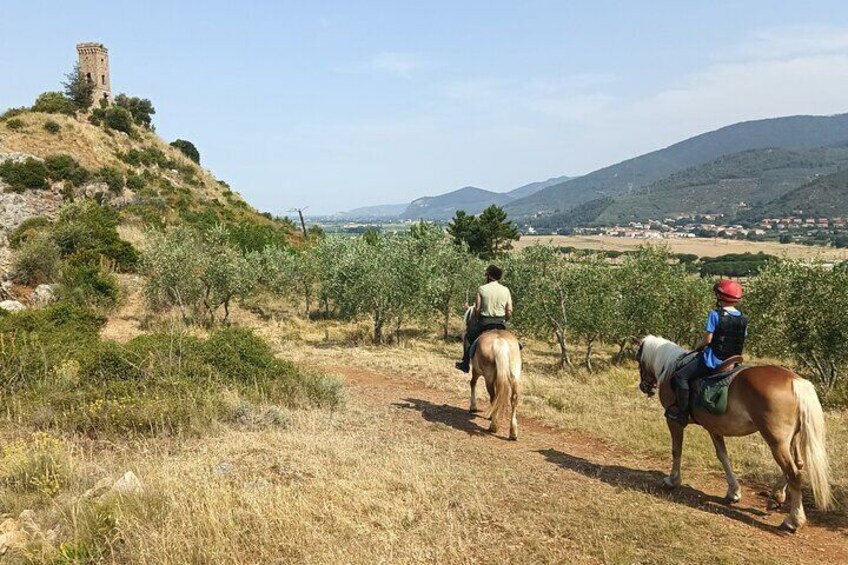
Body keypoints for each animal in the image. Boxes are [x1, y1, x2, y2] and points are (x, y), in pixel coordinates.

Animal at [640, 334, 832, 528]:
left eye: (639, 359)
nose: (645, 387)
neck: (672, 368)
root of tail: (795, 381)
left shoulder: (674, 421)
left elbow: (676, 450)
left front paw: (672, 480)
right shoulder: (713, 427)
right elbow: (723, 456)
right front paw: (733, 491)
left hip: (776, 442)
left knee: (793, 473)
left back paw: (794, 520)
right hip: (792, 438)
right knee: (798, 464)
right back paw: (776, 496)